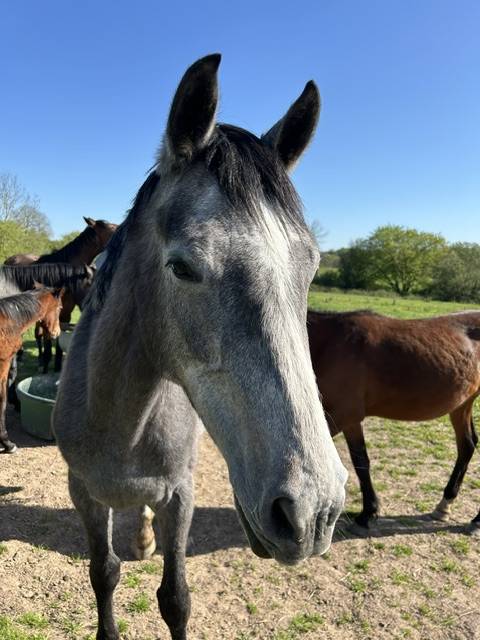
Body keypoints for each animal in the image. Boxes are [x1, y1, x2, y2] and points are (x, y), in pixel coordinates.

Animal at [52, 54, 347, 640]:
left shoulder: (181, 496)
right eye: (183, 267)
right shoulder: (83, 492)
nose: (313, 511)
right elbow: (103, 573)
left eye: (311, 269)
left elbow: (176, 598)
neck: (118, 419)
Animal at [307, 309, 480, 532]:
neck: (329, 342)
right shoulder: (350, 420)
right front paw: (368, 512)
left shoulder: (341, 414)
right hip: (462, 404)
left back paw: (477, 520)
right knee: (467, 445)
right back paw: (444, 506)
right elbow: (361, 462)